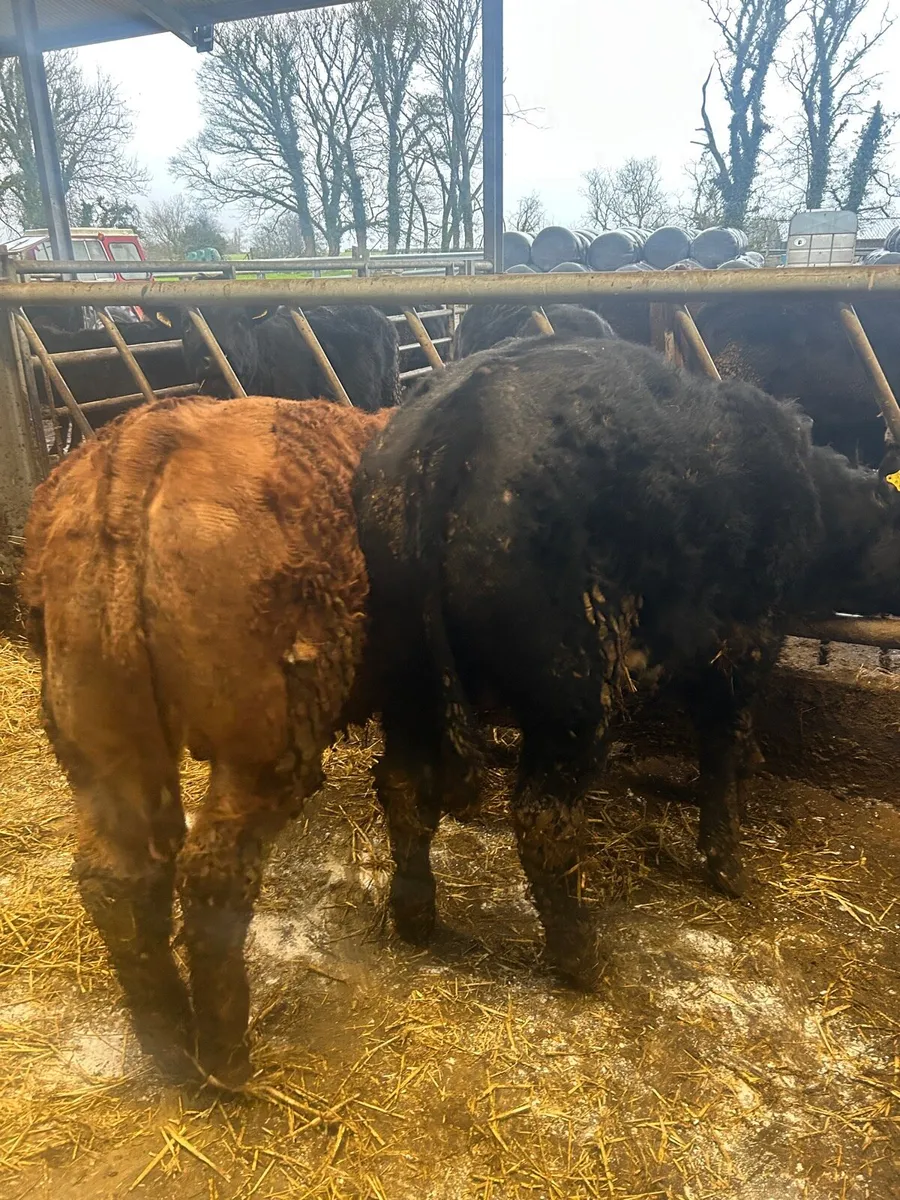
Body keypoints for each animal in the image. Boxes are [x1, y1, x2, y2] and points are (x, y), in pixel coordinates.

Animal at [20, 395, 392, 1088]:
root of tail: (146, 439)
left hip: (100, 742)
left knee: (117, 879)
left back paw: (169, 1043)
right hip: (259, 748)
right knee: (213, 876)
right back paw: (226, 1058)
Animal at [353, 334, 900, 991]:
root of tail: (453, 419)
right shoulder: (743, 643)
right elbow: (722, 747)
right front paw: (728, 862)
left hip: (406, 681)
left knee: (404, 785)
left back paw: (415, 914)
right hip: (572, 698)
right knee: (542, 820)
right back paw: (583, 958)